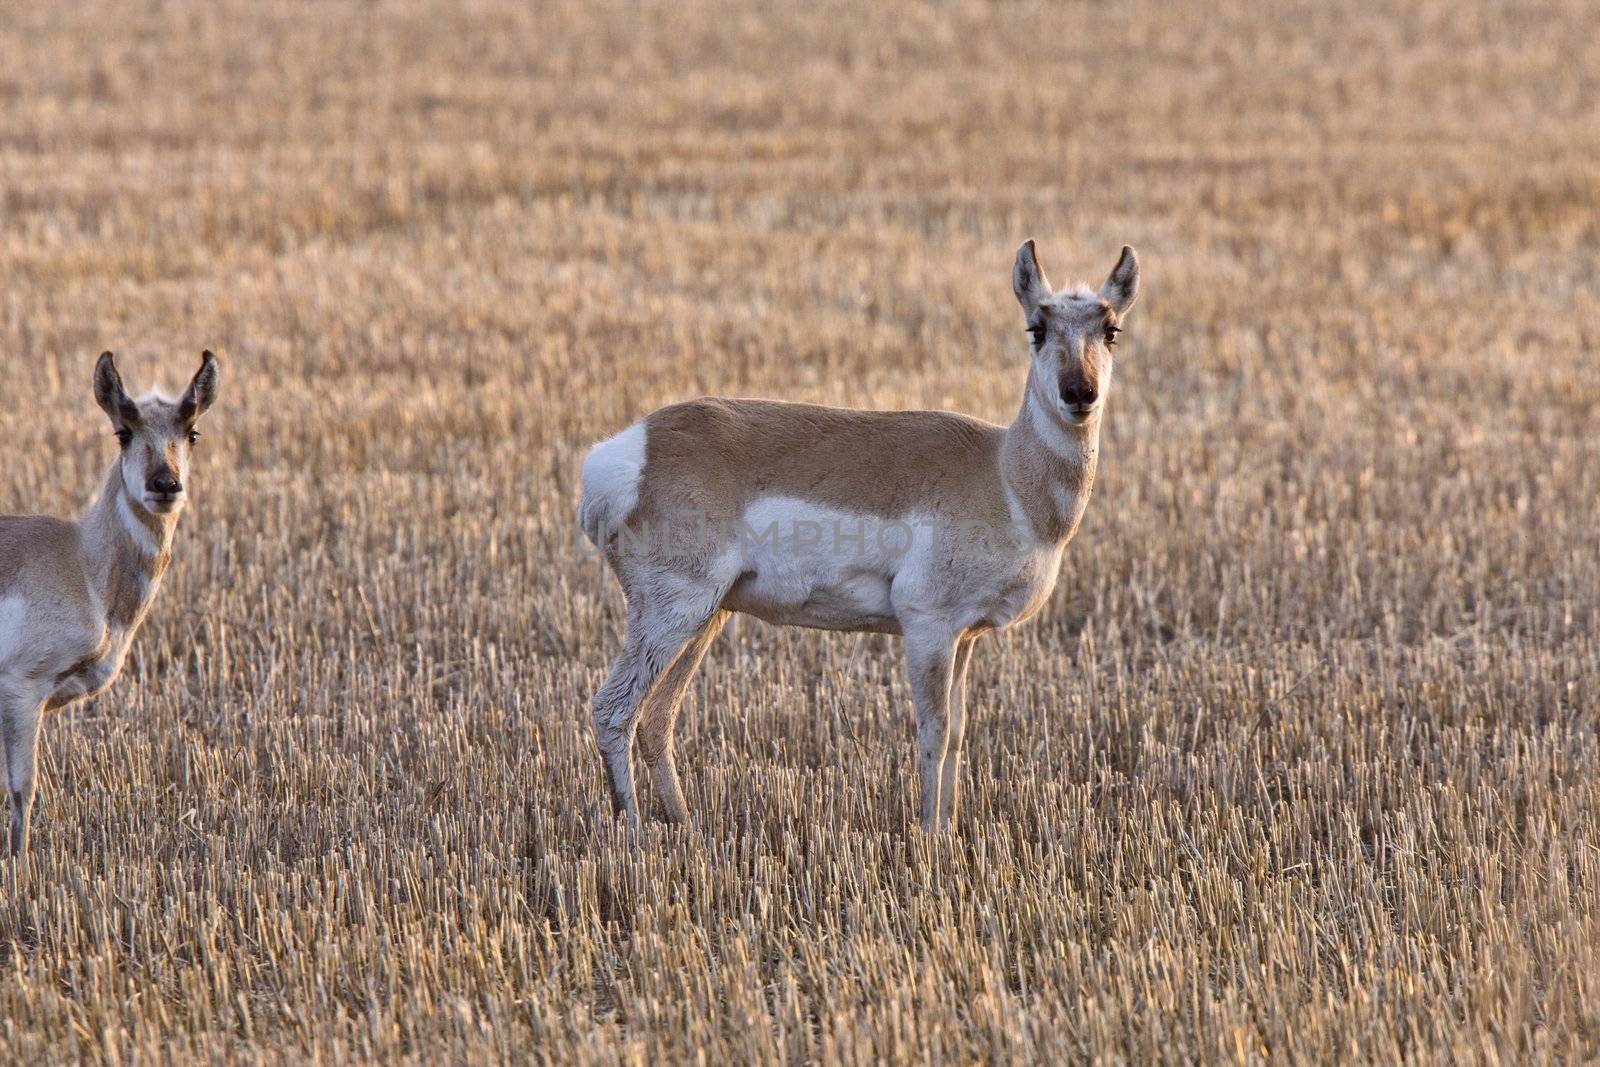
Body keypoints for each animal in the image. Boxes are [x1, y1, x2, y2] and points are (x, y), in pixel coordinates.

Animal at [0, 355, 219, 857]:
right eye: (123, 431)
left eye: (192, 431)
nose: (165, 484)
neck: (82, 559)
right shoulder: (21, 689)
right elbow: (23, 789)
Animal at [576, 241, 1139, 831]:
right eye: (1037, 327)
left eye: (1111, 329)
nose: (1080, 393)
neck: (1004, 471)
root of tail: (622, 451)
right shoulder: (927, 626)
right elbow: (934, 733)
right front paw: (931, 837)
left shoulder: (964, 636)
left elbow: (959, 732)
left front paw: (951, 830)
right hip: (674, 611)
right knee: (614, 710)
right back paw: (634, 834)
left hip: (707, 615)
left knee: (657, 716)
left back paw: (685, 826)